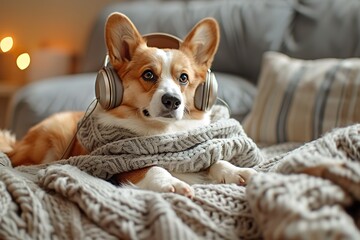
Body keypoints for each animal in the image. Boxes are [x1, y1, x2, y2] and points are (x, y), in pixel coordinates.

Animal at [0, 12, 256, 198]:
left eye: (183, 78)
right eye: (148, 75)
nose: (172, 100)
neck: (162, 132)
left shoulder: (194, 153)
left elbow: (216, 159)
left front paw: (237, 172)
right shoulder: (122, 164)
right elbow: (153, 167)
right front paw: (170, 182)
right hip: (48, 140)